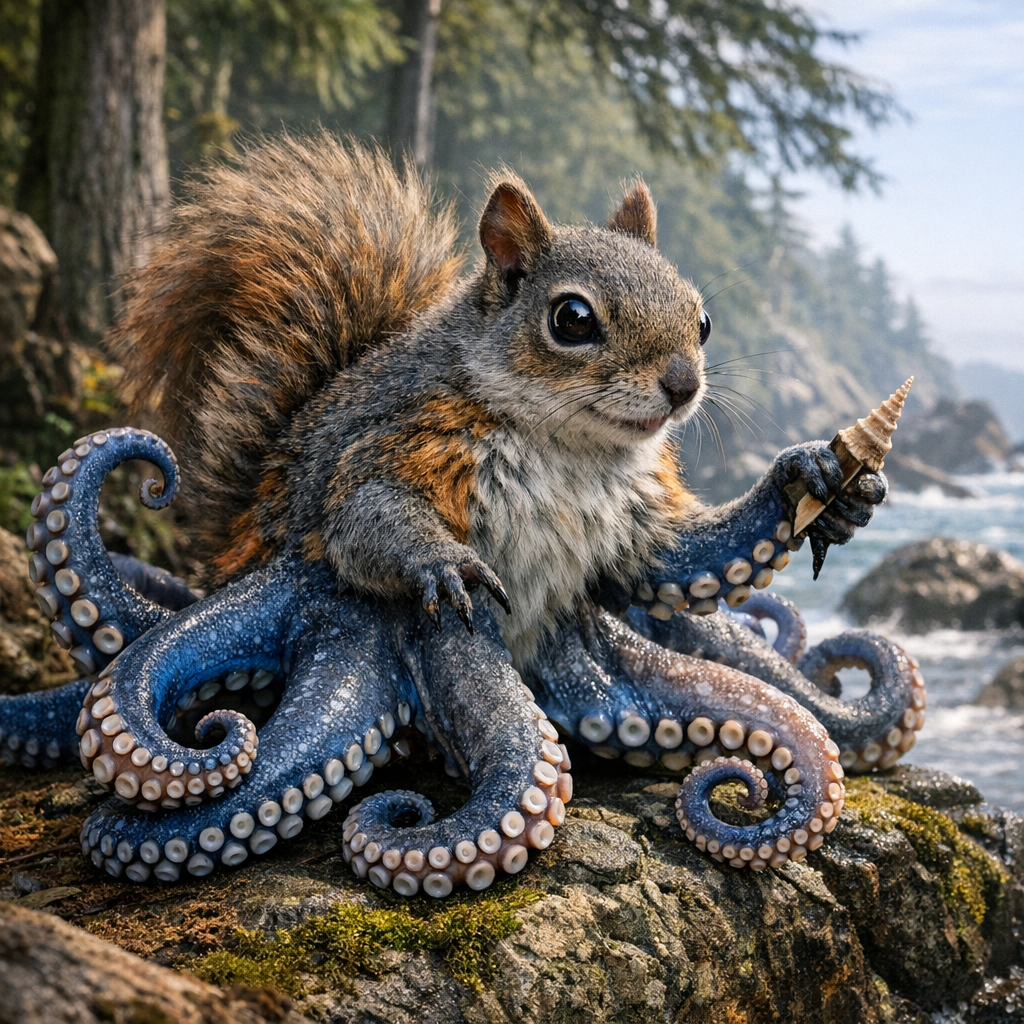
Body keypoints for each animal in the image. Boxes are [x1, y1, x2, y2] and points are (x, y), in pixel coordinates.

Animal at [113, 132, 846, 671]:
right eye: (573, 319)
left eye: (703, 321)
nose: (684, 385)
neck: (572, 448)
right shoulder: (397, 439)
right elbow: (362, 516)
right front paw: (446, 563)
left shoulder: (640, 516)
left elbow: (683, 551)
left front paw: (804, 473)